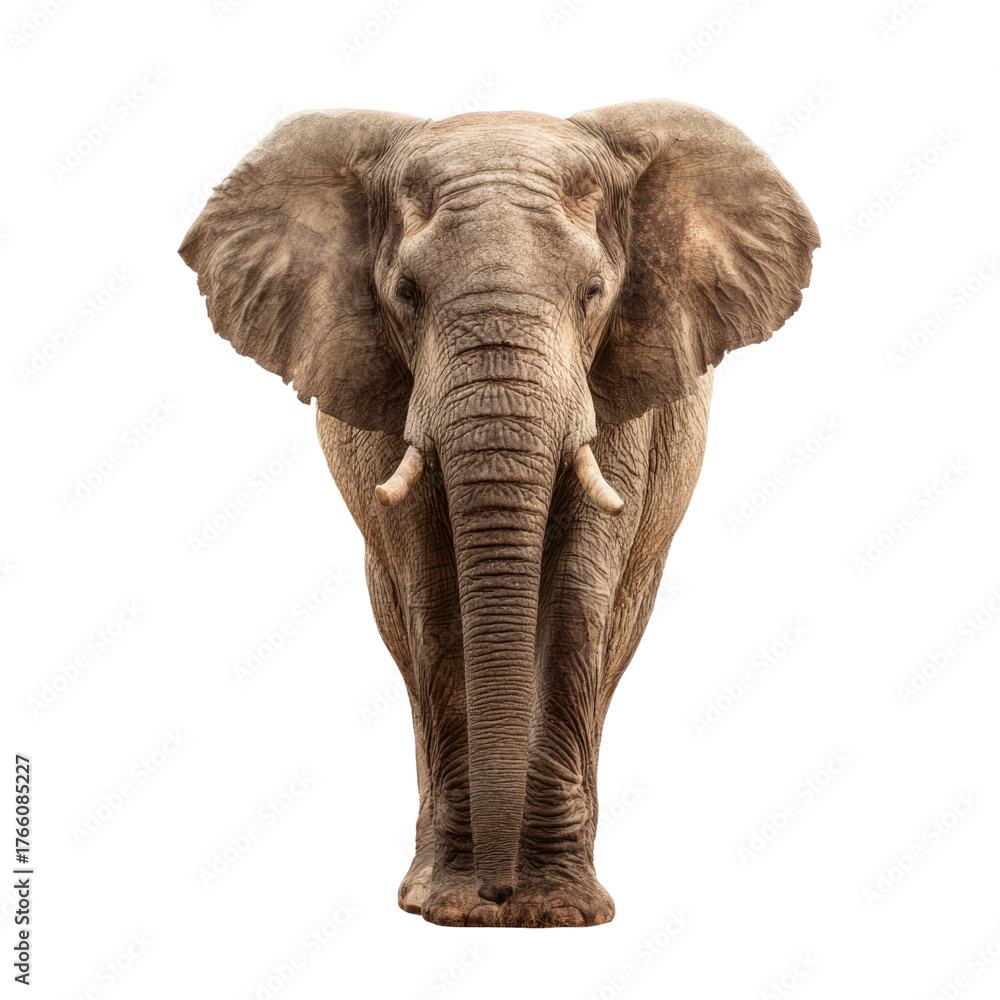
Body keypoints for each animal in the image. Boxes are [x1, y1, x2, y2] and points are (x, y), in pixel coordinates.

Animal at [179, 99, 819, 928]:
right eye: (407, 293)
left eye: (593, 292)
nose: (497, 893)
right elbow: (433, 590)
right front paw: (449, 907)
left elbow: (579, 588)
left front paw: (559, 912)